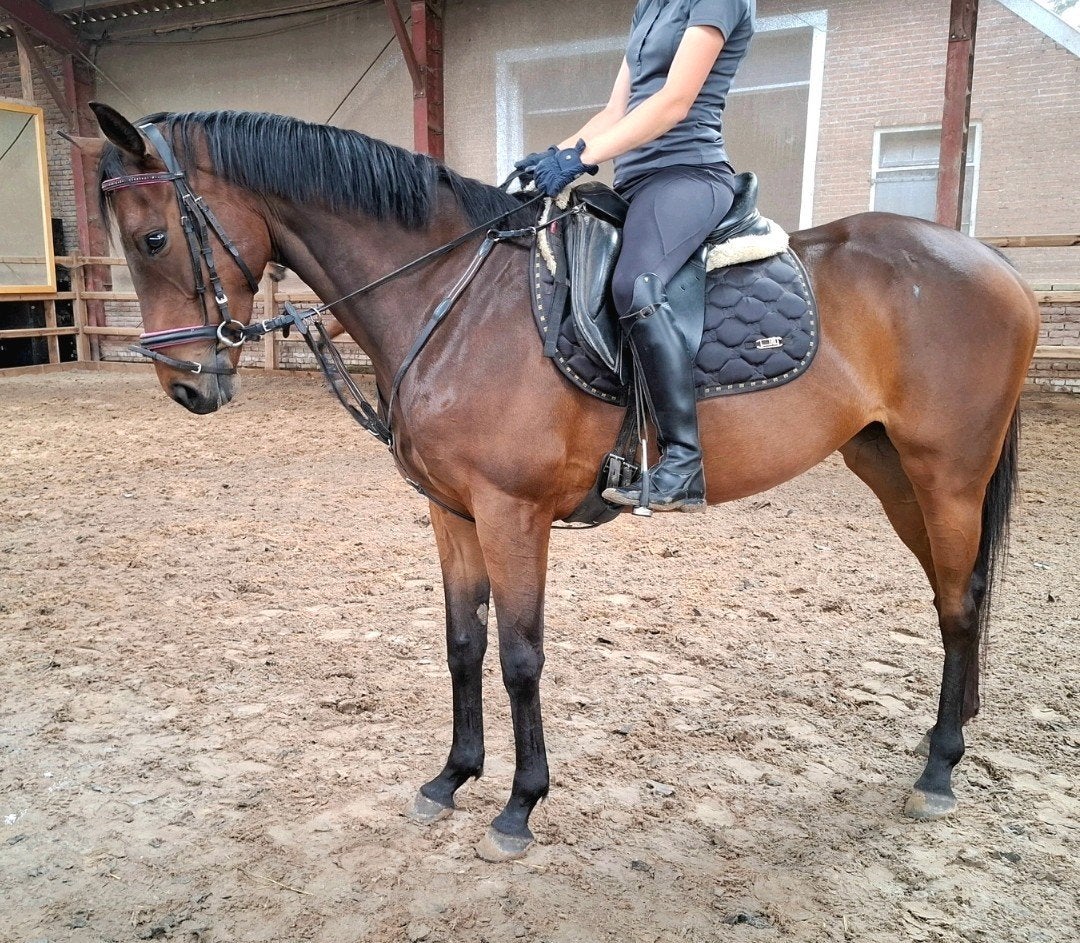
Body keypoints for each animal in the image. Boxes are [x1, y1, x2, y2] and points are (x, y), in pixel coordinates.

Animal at [83, 102, 1039, 862]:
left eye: (154, 237)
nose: (187, 387)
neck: (451, 296)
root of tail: (994, 264)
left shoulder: (514, 513)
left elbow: (519, 657)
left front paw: (518, 805)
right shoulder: (452, 512)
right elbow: (461, 644)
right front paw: (451, 778)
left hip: (947, 473)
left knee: (958, 602)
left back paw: (940, 768)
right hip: (890, 468)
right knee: (958, 594)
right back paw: (949, 737)